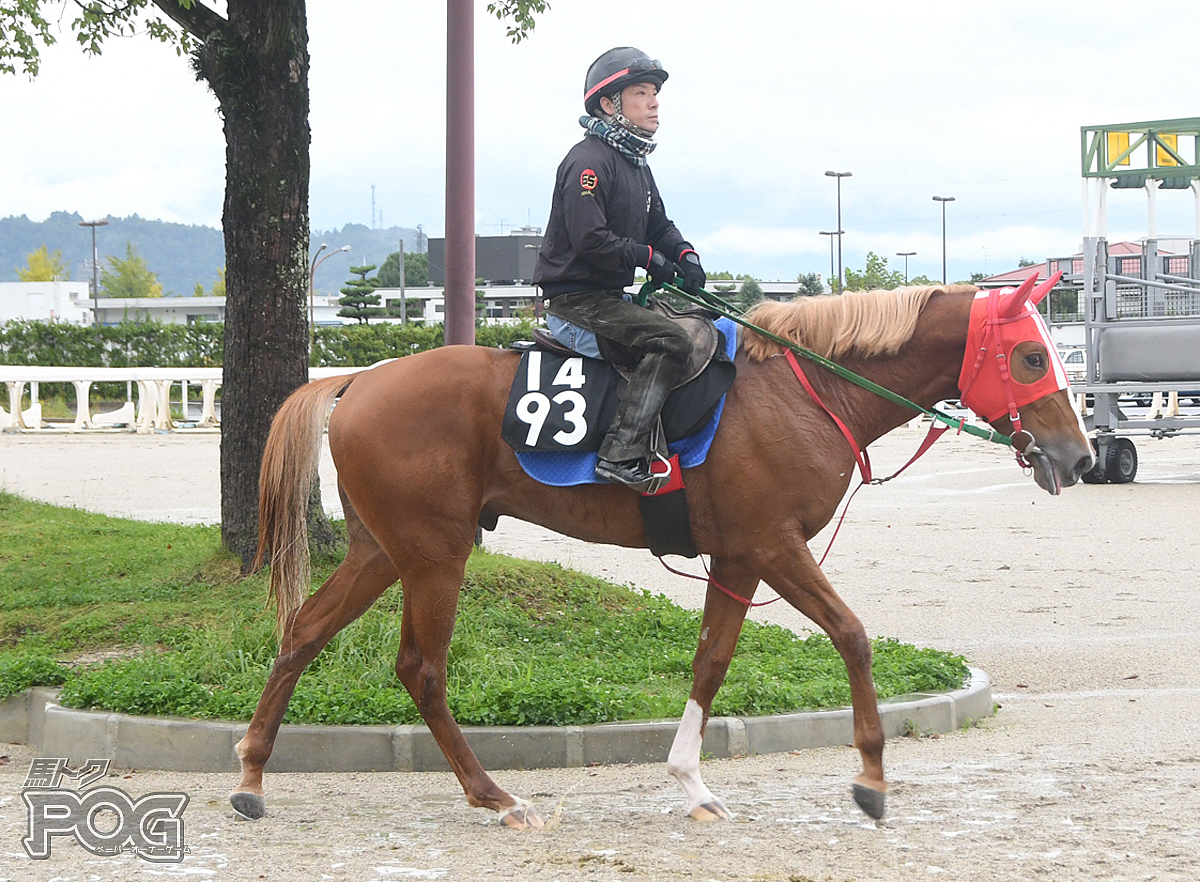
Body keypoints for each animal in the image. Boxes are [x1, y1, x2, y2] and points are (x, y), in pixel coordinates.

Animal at [229, 279, 1094, 830]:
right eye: (1030, 357)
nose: (1080, 456)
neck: (805, 389)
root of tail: (356, 380)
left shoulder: (741, 558)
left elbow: (711, 660)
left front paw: (690, 780)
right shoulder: (773, 545)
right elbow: (852, 635)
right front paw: (871, 777)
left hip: (382, 551)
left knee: (303, 633)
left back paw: (251, 773)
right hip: (435, 555)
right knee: (422, 670)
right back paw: (495, 796)